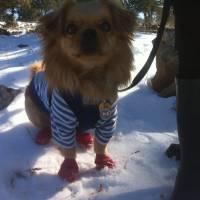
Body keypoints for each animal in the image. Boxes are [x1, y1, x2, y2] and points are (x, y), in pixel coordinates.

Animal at [24, 0, 135, 181]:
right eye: (70, 29)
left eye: (106, 26)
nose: (89, 32)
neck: (90, 79)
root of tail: (36, 73)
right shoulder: (63, 120)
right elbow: (68, 149)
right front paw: (69, 168)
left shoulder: (108, 120)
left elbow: (101, 144)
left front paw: (103, 161)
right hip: (34, 110)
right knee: (46, 125)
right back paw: (44, 134)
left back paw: (83, 137)